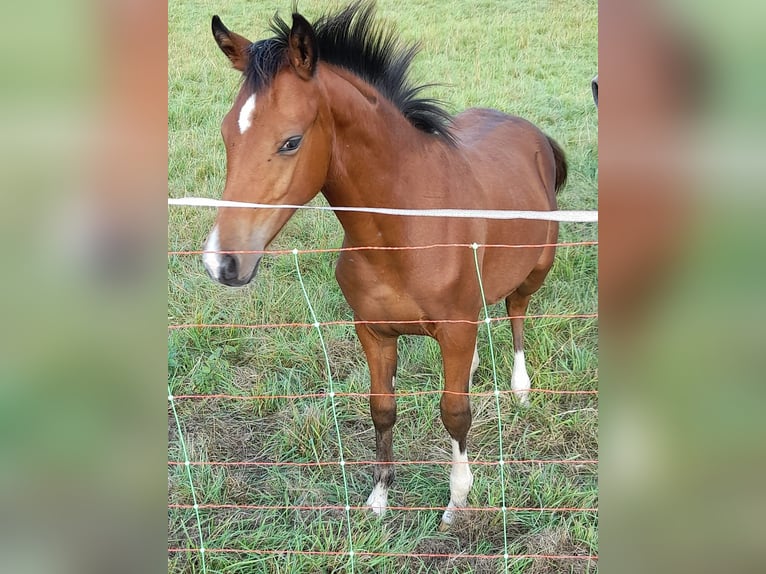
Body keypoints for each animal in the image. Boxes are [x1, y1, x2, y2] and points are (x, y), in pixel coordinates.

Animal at [202, 2, 566, 529]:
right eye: (228, 134)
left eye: (291, 141)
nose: (222, 262)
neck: (404, 230)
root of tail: (532, 131)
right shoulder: (373, 330)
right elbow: (382, 408)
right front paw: (379, 498)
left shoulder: (454, 328)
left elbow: (455, 412)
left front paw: (456, 502)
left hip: (536, 268)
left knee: (517, 311)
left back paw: (519, 388)